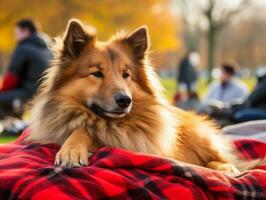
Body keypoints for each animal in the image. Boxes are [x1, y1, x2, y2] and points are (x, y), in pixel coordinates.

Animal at [27, 19, 256, 172]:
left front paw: (72, 149)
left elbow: (87, 131)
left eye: (126, 74)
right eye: (97, 73)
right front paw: (71, 148)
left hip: (200, 138)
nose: (124, 100)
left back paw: (225, 169)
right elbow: (82, 129)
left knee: (227, 161)